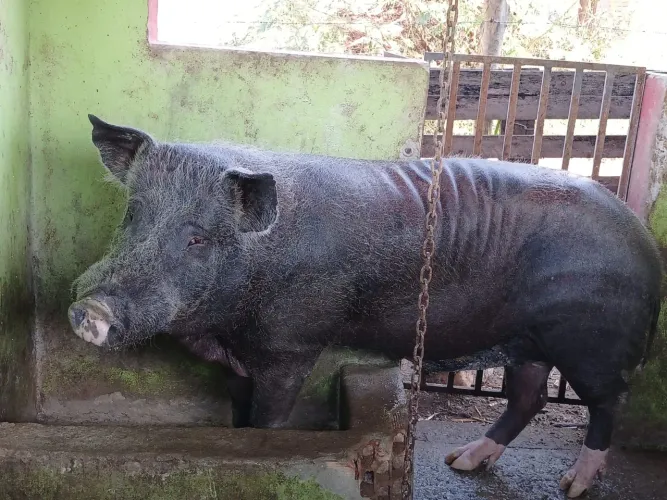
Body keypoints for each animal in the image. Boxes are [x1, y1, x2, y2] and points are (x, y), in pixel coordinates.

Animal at [69, 115, 662, 498]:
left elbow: (270, 417)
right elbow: (238, 414)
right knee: (528, 398)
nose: (90, 311)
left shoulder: (293, 342)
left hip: (592, 341)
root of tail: (643, 237)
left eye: (198, 238)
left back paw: (573, 485)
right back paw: (460, 463)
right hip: (526, 340)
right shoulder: (239, 353)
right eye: (133, 215)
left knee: (607, 402)